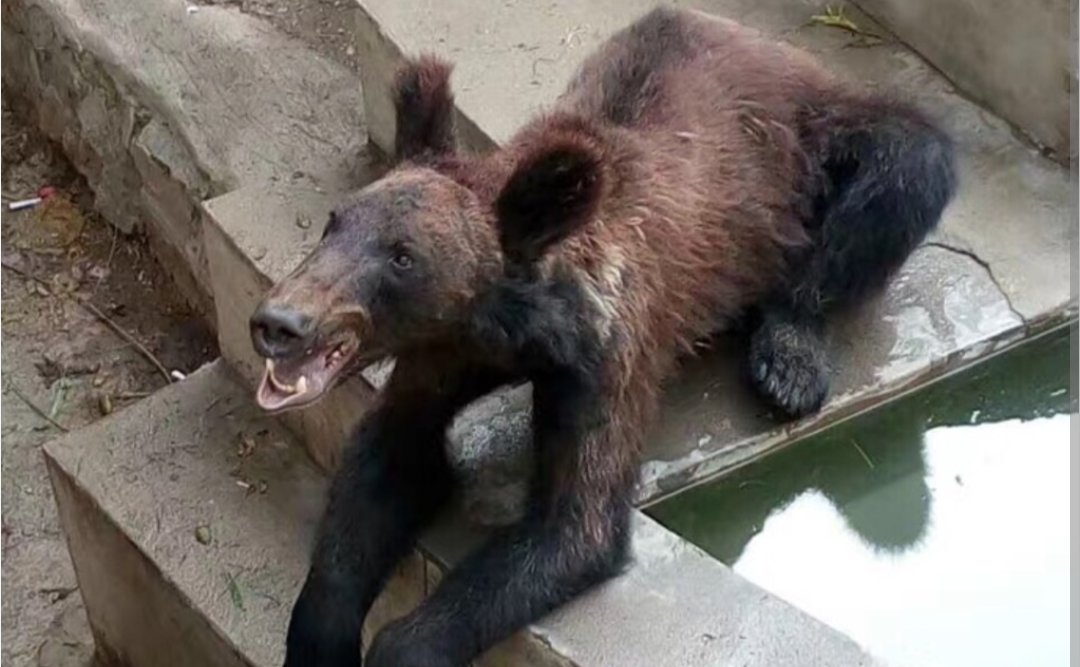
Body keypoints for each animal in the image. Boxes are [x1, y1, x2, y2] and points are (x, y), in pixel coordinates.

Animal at [248, 7, 956, 666]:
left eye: (401, 257)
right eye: (334, 224)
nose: (279, 322)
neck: (513, 326)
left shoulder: (607, 355)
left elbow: (574, 526)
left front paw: (403, 642)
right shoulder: (444, 355)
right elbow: (391, 455)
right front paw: (320, 634)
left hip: (822, 133)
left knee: (908, 164)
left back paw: (787, 361)